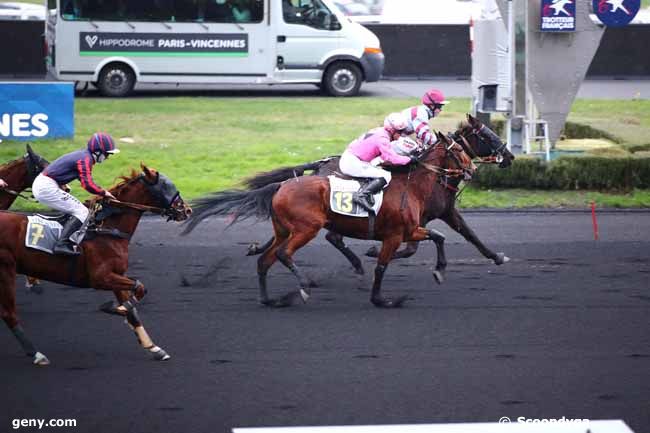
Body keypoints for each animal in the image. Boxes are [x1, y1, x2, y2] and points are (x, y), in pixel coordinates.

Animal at [0, 165, 192, 364]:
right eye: (166, 186)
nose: (187, 210)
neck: (107, 228)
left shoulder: (116, 276)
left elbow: (133, 309)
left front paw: (154, 348)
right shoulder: (101, 278)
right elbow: (140, 288)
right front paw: (113, 308)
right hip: (5, 268)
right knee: (9, 314)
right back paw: (36, 354)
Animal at [242, 113, 512, 276]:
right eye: (487, 135)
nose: (510, 156)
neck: (433, 176)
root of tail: (320, 164)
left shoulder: (442, 212)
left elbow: (467, 234)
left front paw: (496, 256)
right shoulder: (425, 216)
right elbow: (418, 245)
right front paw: (375, 252)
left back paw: (258, 248)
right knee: (332, 237)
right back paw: (356, 264)